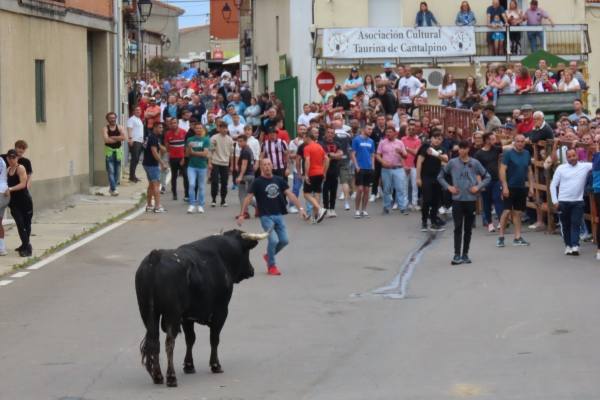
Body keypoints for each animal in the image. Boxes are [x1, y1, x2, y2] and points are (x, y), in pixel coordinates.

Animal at [137, 230, 268, 386]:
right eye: (247, 252)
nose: (251, 270)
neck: (222, 256)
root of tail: (155, 257)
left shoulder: (187, 317)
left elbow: (190, 339)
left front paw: (189, 366)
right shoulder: (221, 311)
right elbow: (214, 338)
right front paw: (215, 365)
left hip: (148, 314)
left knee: (154, 341)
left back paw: (158, 376)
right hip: (171, 314)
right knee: (169, 342)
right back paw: (171, 377)